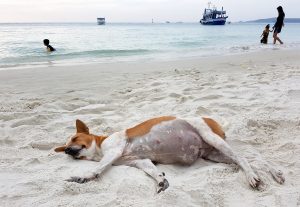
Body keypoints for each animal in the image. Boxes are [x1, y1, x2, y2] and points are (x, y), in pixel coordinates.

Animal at [54, 116, 286, 192]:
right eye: (65, 146)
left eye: (75, 139)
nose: (67, 151)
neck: (101, 145)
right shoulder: (141, 161)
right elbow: (153, 171)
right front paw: (160, 180)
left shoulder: (114, 151)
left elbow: (98, 168)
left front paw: (82, 177)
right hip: (214, 154)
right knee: (253, 158)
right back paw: (274, 172)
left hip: (212, 138)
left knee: (243, 158)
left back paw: (253, 176)